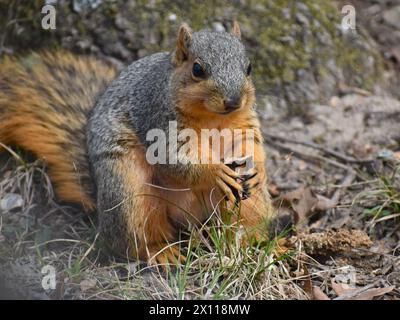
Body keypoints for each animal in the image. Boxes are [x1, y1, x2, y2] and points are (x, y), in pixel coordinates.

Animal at [0, 21, 276, 262]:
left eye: (249, 68)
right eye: (198, 70)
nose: (233, 101)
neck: (213, 117)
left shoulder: (242, 125)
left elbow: (250, 144)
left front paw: (259, 169)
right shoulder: (157, 120)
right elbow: (174, 157)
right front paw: (215, 171)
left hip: (251, 202)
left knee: (244, 223)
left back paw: (262, 243)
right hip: (129, 194)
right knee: (133, 242)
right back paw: (160, 252)